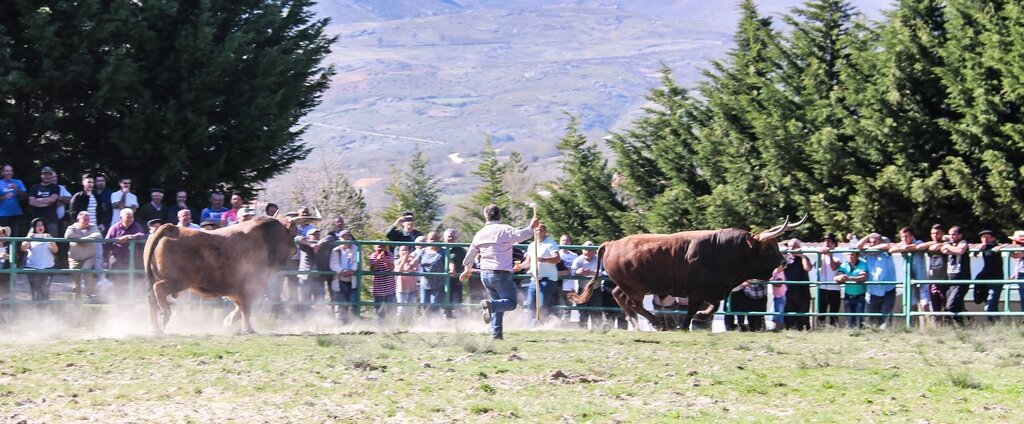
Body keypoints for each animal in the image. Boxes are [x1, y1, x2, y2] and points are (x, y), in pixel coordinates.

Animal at [142, 217, 299, 333]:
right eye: (293, 236)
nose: (296, 250)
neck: (266, 240)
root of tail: (172, 228)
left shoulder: (235, 290)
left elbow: (240, 307)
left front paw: (230, 320)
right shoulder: (250, 287)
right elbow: (246, 308)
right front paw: (248, 329)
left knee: (151, 299)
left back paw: (155, 329)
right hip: (178, 281)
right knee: (159, 289)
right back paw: (165, 316)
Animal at [573, 215, 802, 331]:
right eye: (769, 248)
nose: (784, 262)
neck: (723, 249)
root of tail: (612, 243)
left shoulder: (714, 291)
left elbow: (713, 306)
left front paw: (701, 317)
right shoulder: (696, 291)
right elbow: (692, 309)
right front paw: (685, 324)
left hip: (629, 285)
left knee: (619, 297)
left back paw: (638, 324)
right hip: (637, 287)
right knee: (632, 303)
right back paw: (656, 322)